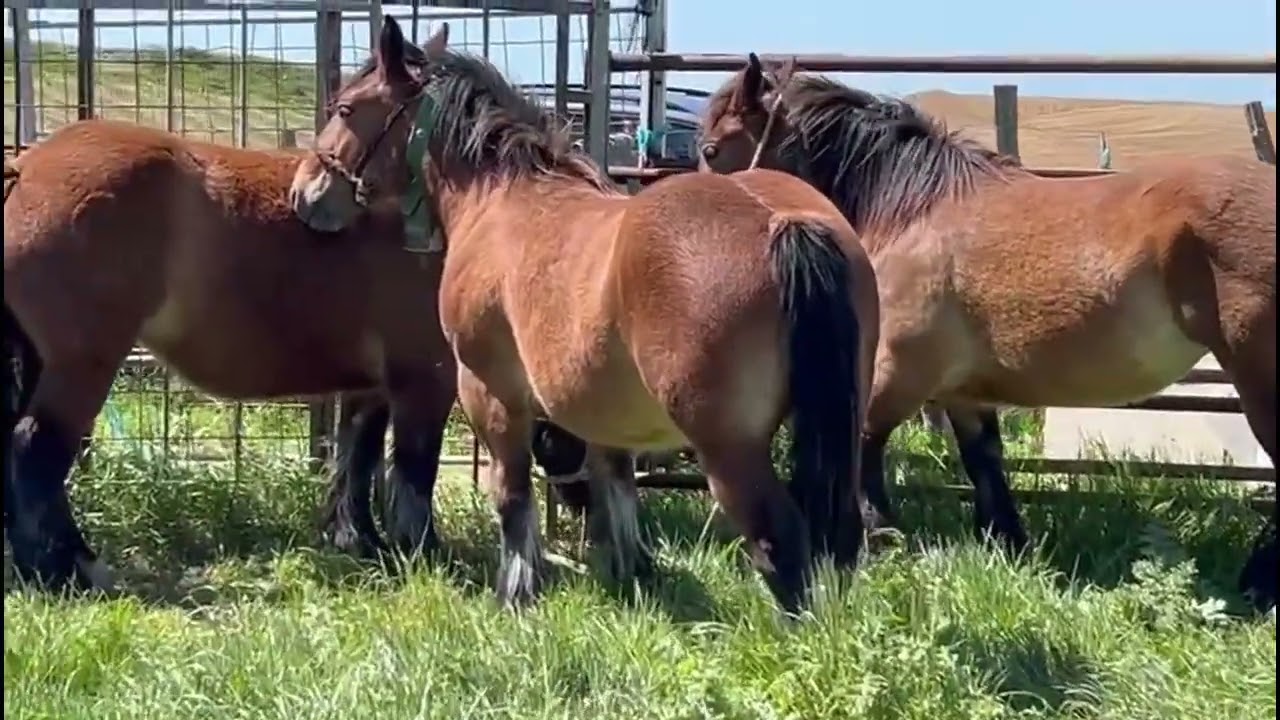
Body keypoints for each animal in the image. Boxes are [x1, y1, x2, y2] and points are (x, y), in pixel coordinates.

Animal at [3, 114, 458, 591]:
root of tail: (25, 167)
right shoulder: (426, 378)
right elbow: (415, 470)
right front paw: (425, 554)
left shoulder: (373, 387)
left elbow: (356, 462)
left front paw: (363, 544)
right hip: (81, 364)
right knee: (35, 448)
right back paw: (69, 569)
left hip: (38, 360)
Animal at [288, 18, 881, 613]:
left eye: (345, 108)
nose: (305, 193)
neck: (500, 196)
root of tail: (781, 223)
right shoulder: (604, 411)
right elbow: (617, 491)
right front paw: (633, 573)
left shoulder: (491, 392)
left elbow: (513, 495)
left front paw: (516, 591)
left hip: (729, 448)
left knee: (779, 543)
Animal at [699, 56, 1278, 612]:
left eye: (711, 148)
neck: (915, 211)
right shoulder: (963, 390)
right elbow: (985, 463)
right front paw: (1010, 546)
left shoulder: (898, 374)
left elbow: (866, 449)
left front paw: (882, 537)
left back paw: (1256, 587)